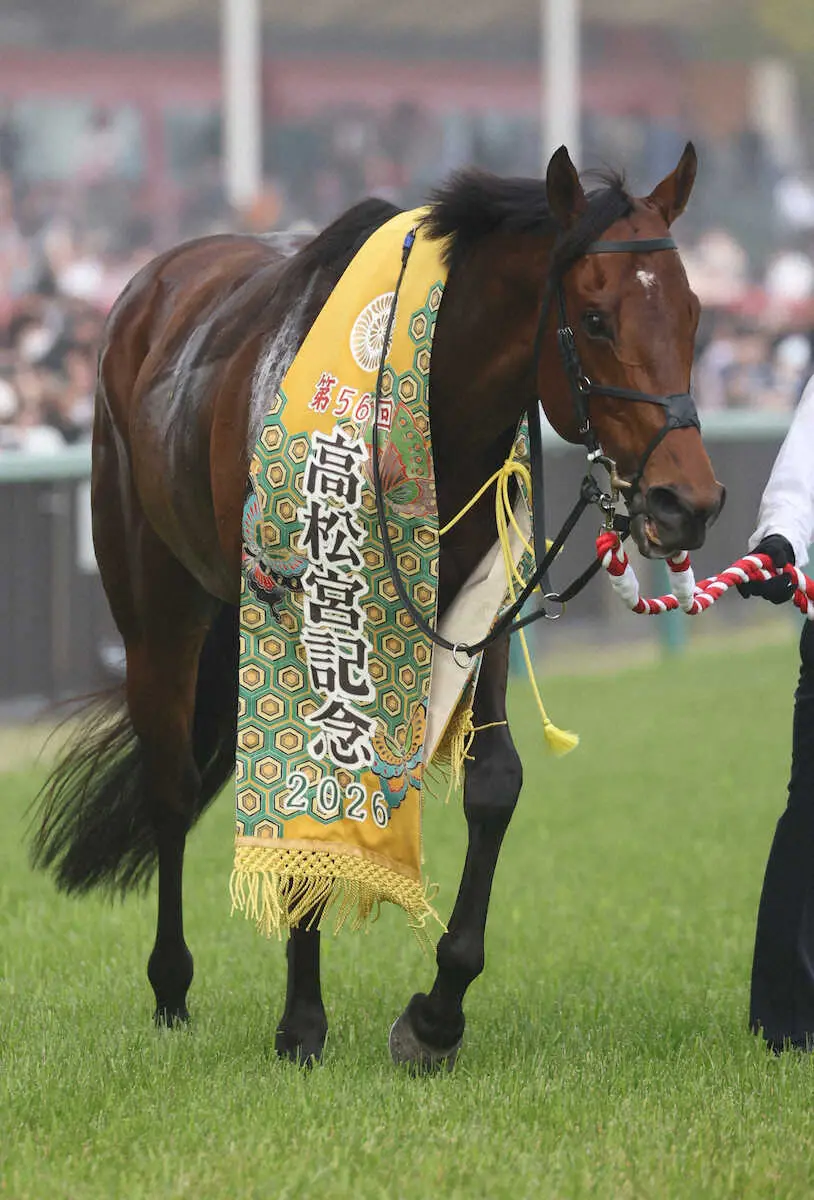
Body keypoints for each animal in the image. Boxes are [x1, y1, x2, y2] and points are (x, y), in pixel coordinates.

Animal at [31, 143, 724, 1070]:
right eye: (597, 317)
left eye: (692, 313)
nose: (689, 501)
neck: (425, 406)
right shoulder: (308, 606)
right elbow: (311, 788)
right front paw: (301, 1022)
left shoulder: (479, 605)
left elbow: (495, 782)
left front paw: (436, 1014)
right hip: (154, 598)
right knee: (170, 783)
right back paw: (170, 987)